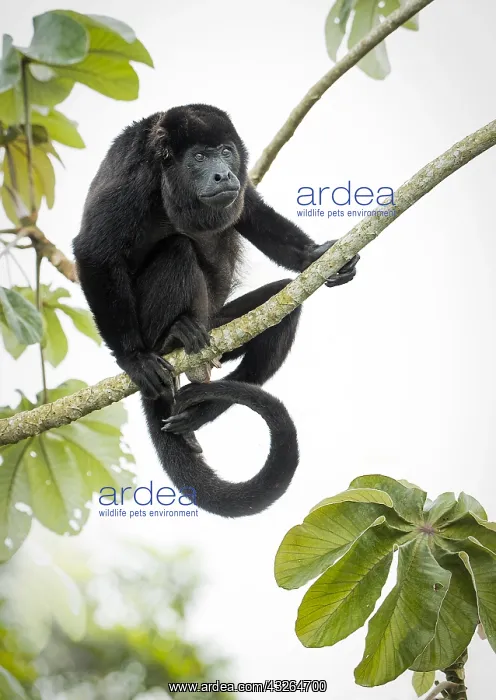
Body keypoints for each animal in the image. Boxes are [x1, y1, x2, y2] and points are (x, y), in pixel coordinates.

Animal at [73, 104, 359, 517]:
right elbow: (93, 250)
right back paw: (170, 338)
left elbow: (251, 212)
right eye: (198, 157)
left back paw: (198, 412)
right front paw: (133, 358)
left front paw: (316, 254)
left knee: (283, 309)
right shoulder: (133, 175)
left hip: (222, 327)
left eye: (225, 151)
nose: (223, 173)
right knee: (176, 248)